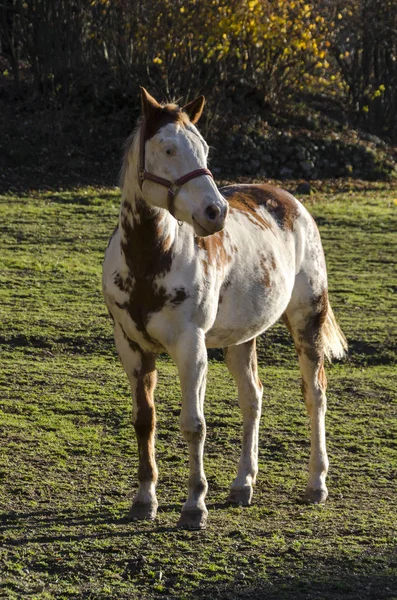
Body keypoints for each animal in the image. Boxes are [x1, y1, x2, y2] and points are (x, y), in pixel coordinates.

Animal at [103, 85, 346, 528]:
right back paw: (242, 484)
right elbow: (145, 421)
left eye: (203, 148)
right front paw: (144, 500)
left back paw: (316, 483)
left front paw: (194, 505)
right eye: (167, 148)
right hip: (241, 338)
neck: (151, 260)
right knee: (253, 398)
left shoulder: (191, 347)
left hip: (307, 320)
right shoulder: (131, 347)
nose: (215, 213)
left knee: (314, 394)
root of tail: (289, 201)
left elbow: (193, 425)